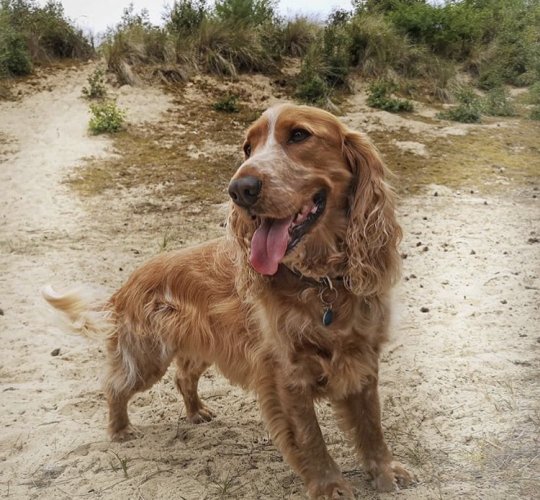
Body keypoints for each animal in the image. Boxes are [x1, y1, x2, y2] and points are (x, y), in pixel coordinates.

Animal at [43, 103, 414, 498]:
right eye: (247, 148)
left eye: (299, 135)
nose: (240, 189)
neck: (319, 283)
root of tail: (127, 284)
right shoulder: (286, 376)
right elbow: (312, 439)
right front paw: (331, 487)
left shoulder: (362, 360)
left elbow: (372, 427)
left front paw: (385, 472)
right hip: (146, 356)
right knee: (115, 387)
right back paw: (120, 430)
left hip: (198, 347)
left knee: (183, 376)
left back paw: (196, 412)